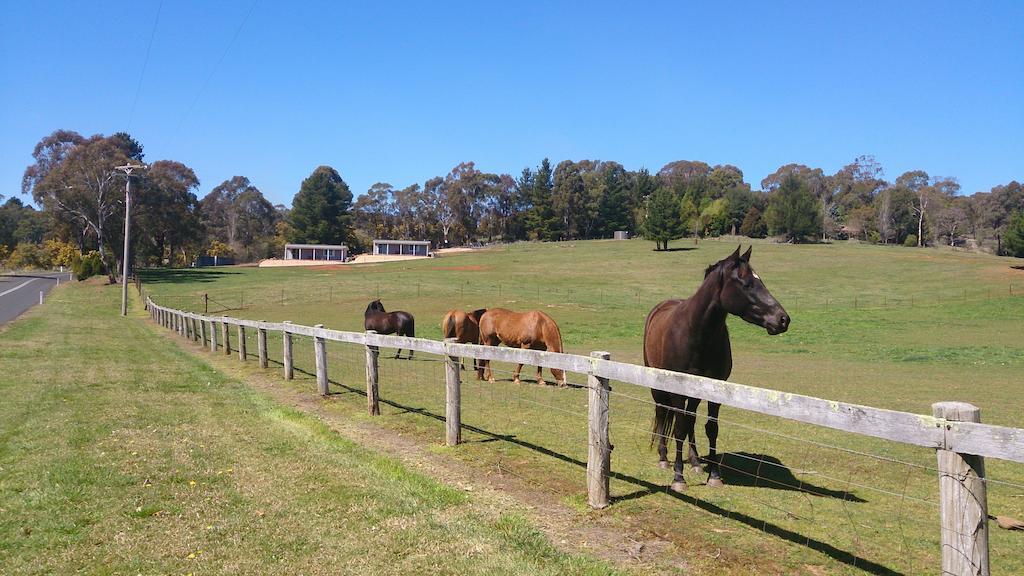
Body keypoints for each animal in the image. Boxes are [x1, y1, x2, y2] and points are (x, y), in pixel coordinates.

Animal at [643, 243, 786, 491]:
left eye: (761, 281)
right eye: (747, 284)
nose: (783, 319)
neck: (697, 332)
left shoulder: (715, 388)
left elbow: (710, 428)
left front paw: (714, 475)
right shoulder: (678, 390)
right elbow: (678, 429)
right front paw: (678, 478)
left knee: (690, 420)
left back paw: (695, 462)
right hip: (658, 386)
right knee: (662, 414)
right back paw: (663, 458)